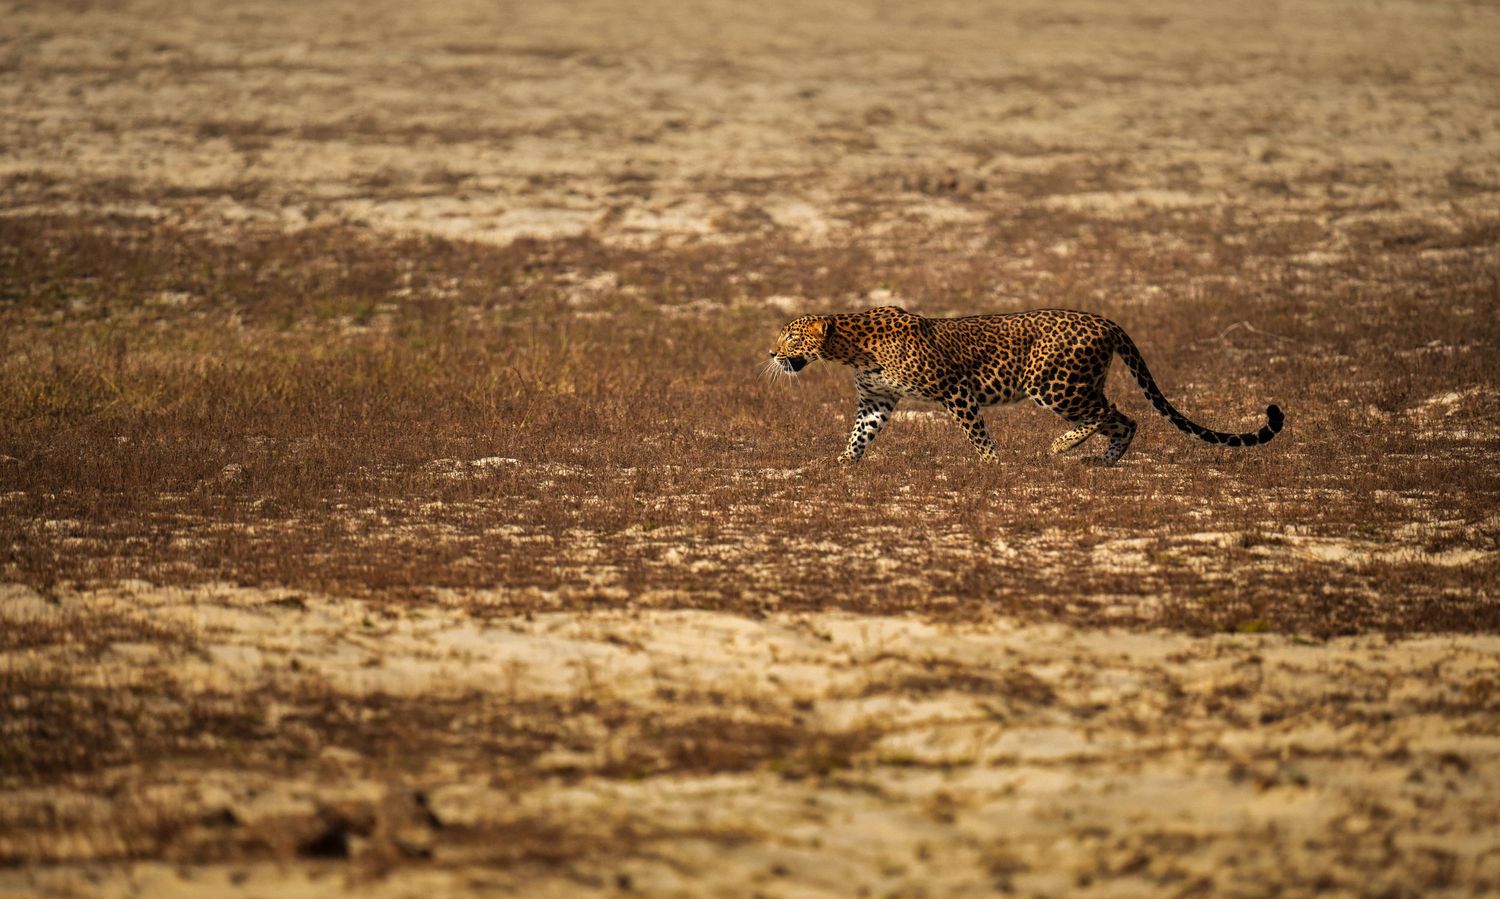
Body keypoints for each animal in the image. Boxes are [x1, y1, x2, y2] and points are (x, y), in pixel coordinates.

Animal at [766, 306, 1284, 466]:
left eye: (790, 337)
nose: (771, 353)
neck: (851, 347)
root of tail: (1106, 320)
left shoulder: (956, 389)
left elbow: (977, 434)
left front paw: (993, 465)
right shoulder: (877, 401)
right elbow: (859, 436)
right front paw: (841, 465)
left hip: (1053, 384)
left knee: (1116, 414)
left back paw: (1064, 446)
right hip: (1076, 383)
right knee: (1121, 419)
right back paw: (1100, 461)